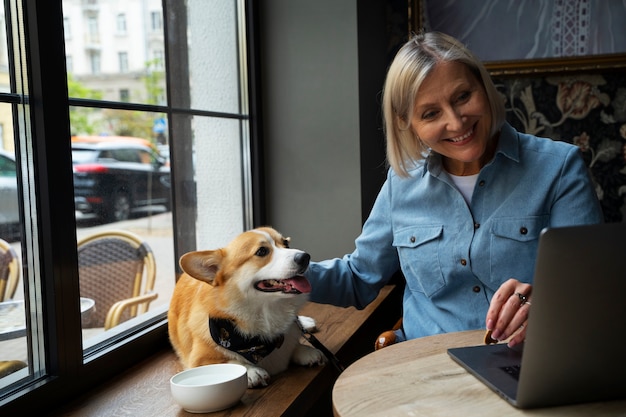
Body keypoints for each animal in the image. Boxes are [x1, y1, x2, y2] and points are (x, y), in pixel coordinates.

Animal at [168, 228, 324, 386]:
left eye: (286, 243)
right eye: (262, 251)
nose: (305, 257)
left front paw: (305, 350)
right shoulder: (198, 361)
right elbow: (229, 362)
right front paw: (251, 371)